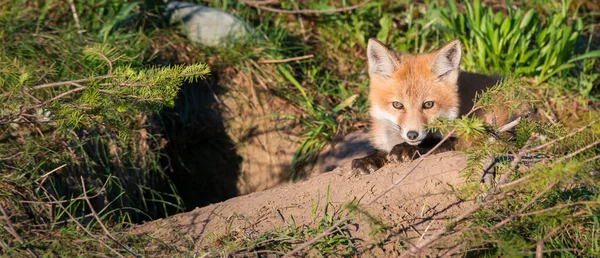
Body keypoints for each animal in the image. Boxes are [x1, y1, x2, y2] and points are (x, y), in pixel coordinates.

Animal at [352, 38, 520, 174]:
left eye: (428, 104)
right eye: (397, 105)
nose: (412, 135)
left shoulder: (465, 138)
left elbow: (437, 144)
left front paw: (407, 149)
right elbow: (380, 151)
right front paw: (368, 160)